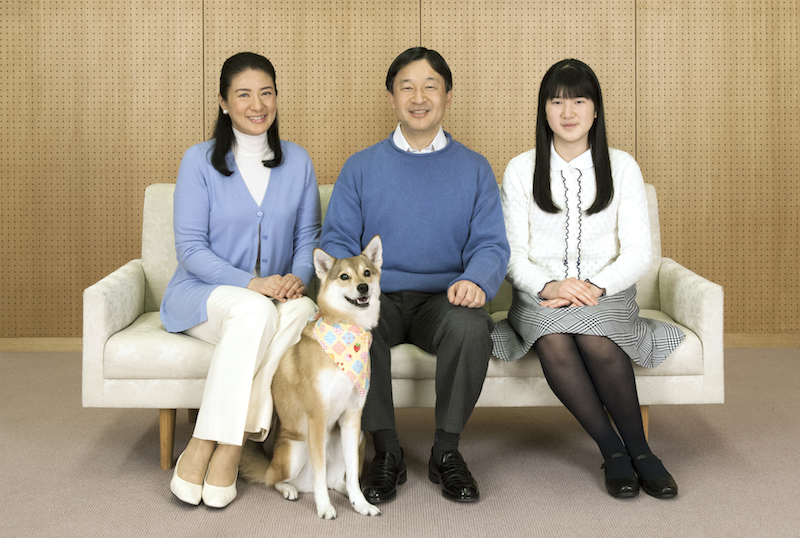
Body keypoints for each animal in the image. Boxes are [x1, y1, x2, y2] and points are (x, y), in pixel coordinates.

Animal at [239, 233, 382, 516]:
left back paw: (346, 493)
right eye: (344, 276)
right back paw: (290, 489)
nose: (363, 288)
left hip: (357, 437)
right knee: (275, 479)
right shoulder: (317, 417)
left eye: (367, 273)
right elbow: (318, 473)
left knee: (338, 480)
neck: (347, 332)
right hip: (296, 449)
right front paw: (324, 507)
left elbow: (353, 475)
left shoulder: (352, 418)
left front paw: (361, 503)